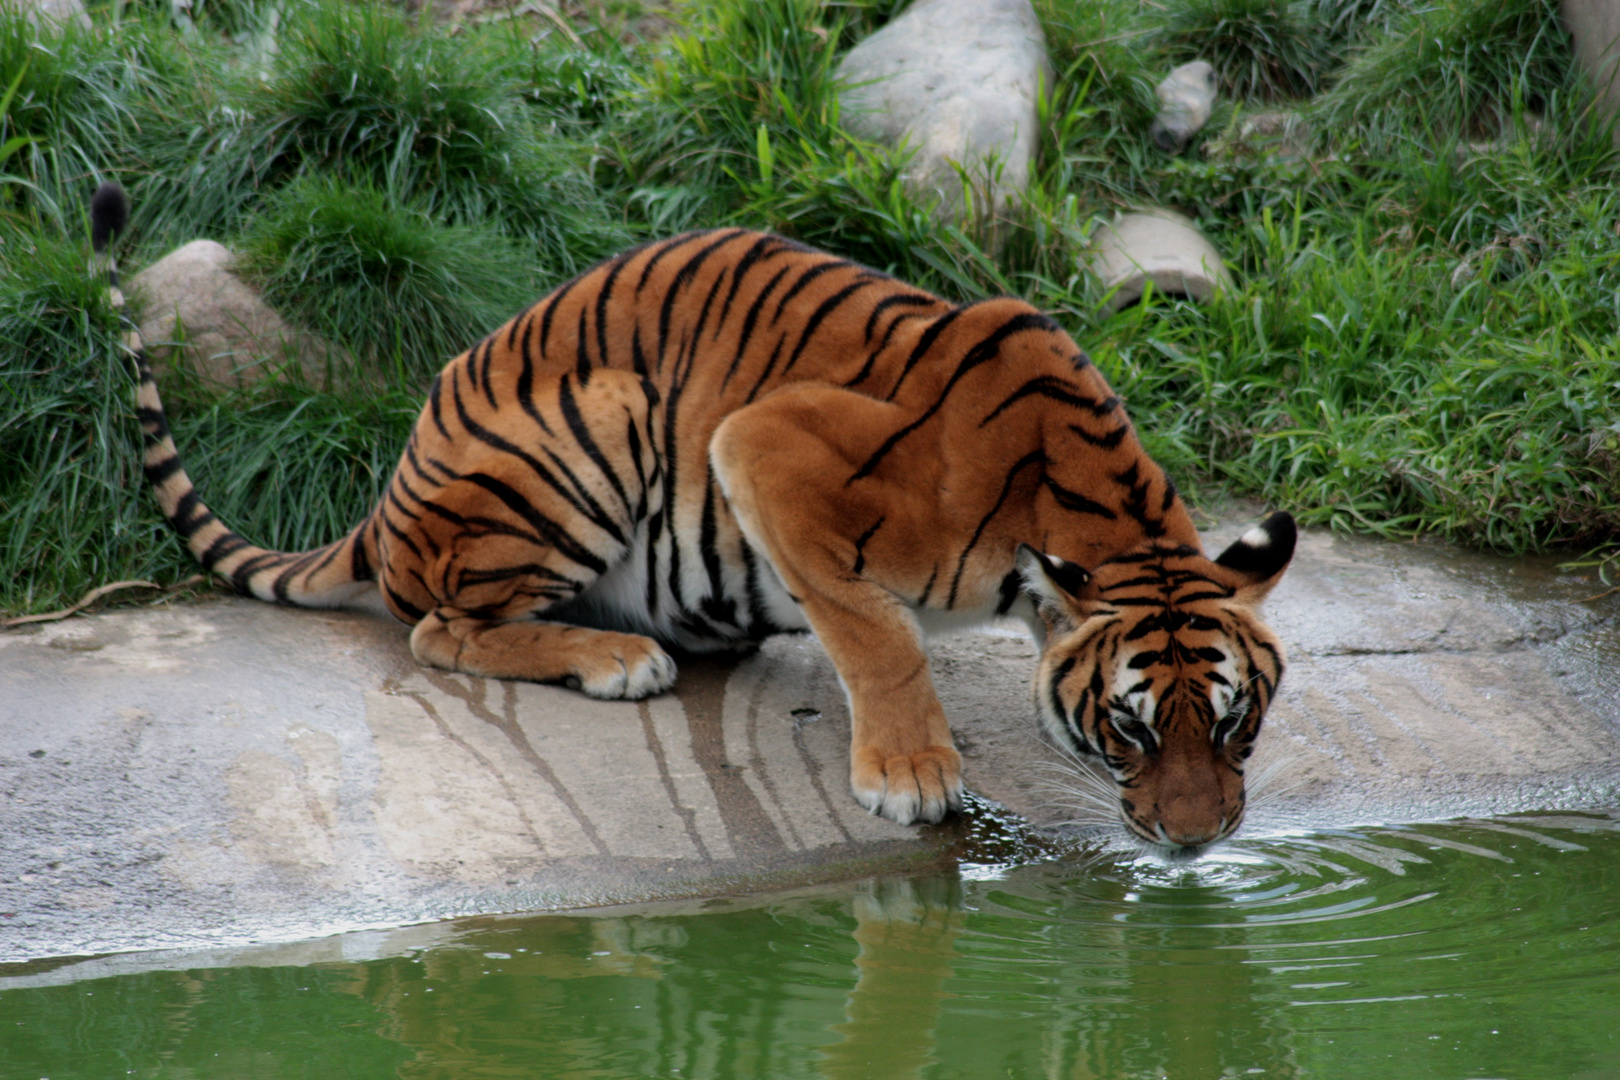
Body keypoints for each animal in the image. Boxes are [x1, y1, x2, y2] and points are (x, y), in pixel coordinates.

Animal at [94, 181, 1296, 848]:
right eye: (1131, 727)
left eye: (1234, 722)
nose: (1194, 845)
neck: (1096, 511)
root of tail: (387, 495)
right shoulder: (761, 444)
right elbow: (879, 632)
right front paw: (910, 775)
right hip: (601, 424)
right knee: (441, 628)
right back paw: (617, 658)